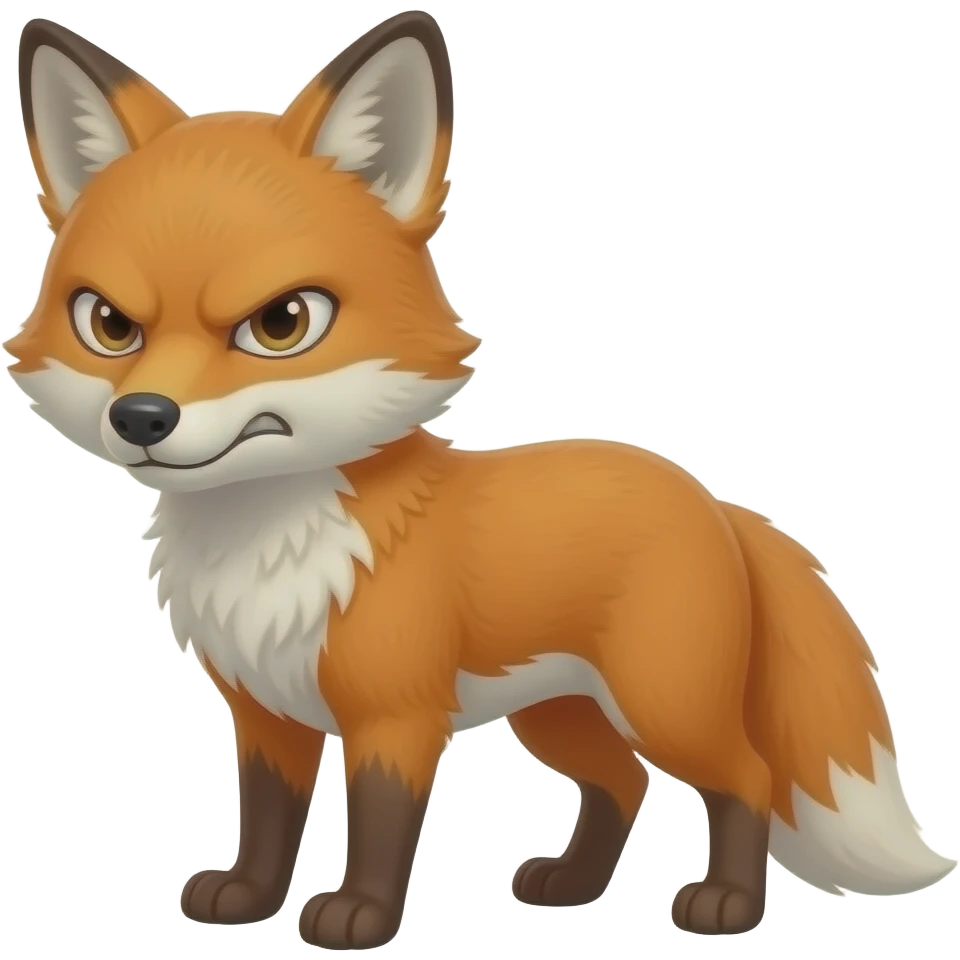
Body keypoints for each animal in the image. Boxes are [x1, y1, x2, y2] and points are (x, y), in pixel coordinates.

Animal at [8, 11, 957, 949]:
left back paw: (726, 903)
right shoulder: (266, 714)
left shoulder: (396, 716)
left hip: (665, 703)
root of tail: (714, 501)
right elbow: (268, 819)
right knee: (623, 783)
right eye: (108, 325)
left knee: (745, 777)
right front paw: (247, 897)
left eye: (282, 323)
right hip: (560, 713)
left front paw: (359, 916)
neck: (270, 543)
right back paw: (572, 886)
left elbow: (382, 827)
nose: (142, 418)